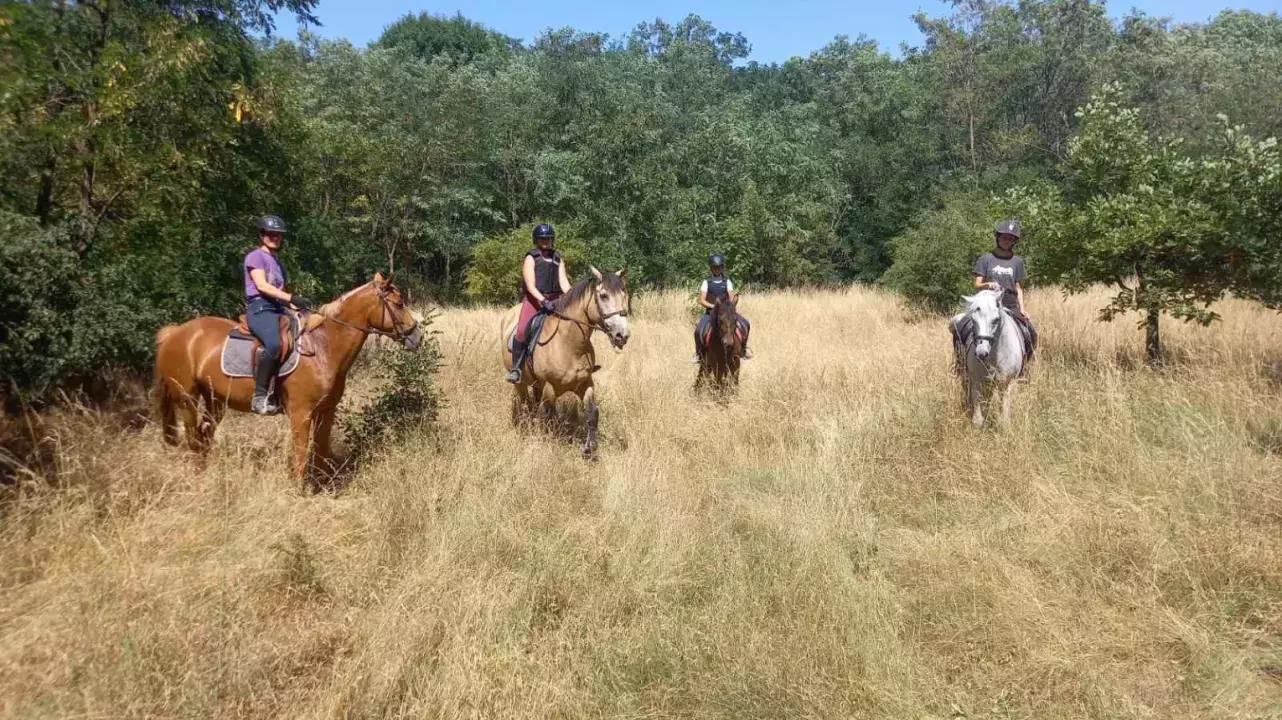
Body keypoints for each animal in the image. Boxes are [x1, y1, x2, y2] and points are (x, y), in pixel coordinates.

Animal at [152, 271, 417, 484]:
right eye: (399, 303)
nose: (417, 337)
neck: (322, 347)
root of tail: (174, 333)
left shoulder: (326, 411)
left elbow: (320, 451)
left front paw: (323, 487)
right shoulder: (301, 414)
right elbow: (302, 454)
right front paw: (301, 490)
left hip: (216, 401)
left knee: (204, 436)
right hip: (186, 399)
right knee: (194, 439)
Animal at [499, 266, 630, 456]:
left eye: (624, 295)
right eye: (604, 295)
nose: (622, 336)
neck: (569, 344)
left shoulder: (585, 383)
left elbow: (593, 413)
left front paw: (589, 449)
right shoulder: (549, 388)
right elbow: (551, 417)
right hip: (520, 383)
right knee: (526, 405)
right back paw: (527, 430)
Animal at [948, 288, 1025, 425]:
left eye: (996, 320)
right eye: (973, 320)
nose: (981, 353)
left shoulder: (1006, 384)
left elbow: (1004, 417)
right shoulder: (977, 381)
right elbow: (978, 418)